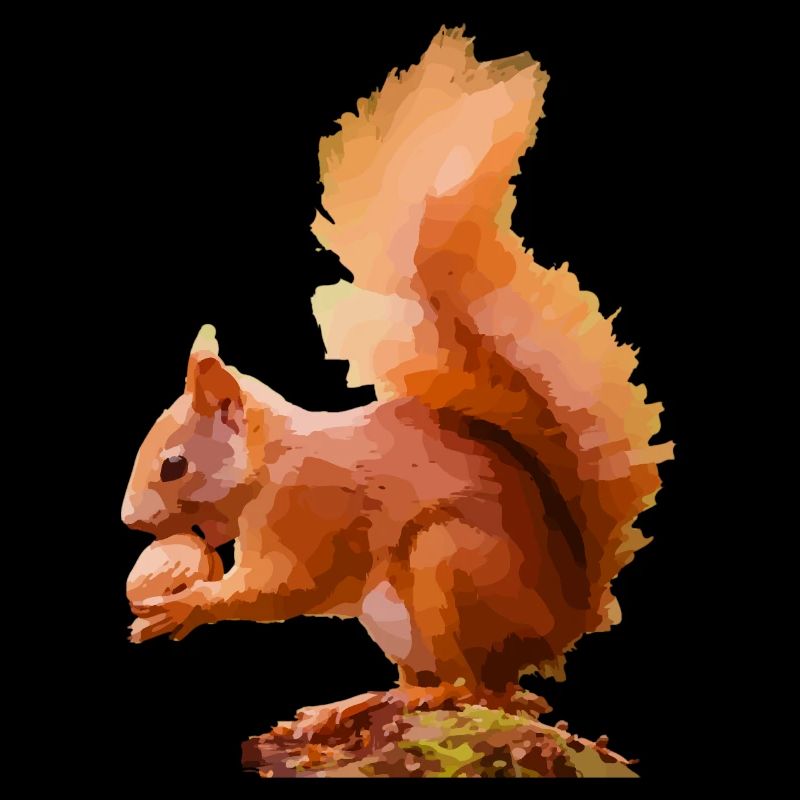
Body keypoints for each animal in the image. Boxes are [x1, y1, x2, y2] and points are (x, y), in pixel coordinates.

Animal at [122, 28, 672, 712]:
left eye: (174, 465)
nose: (130, 521)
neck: (269, 459)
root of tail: (561, 622)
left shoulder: (307, 506)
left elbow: (283, 588)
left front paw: (187, 605)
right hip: (395, 624)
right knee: (442, 678)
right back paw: (355, 703)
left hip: (447, 568)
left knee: (481, 685)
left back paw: (438, 697)